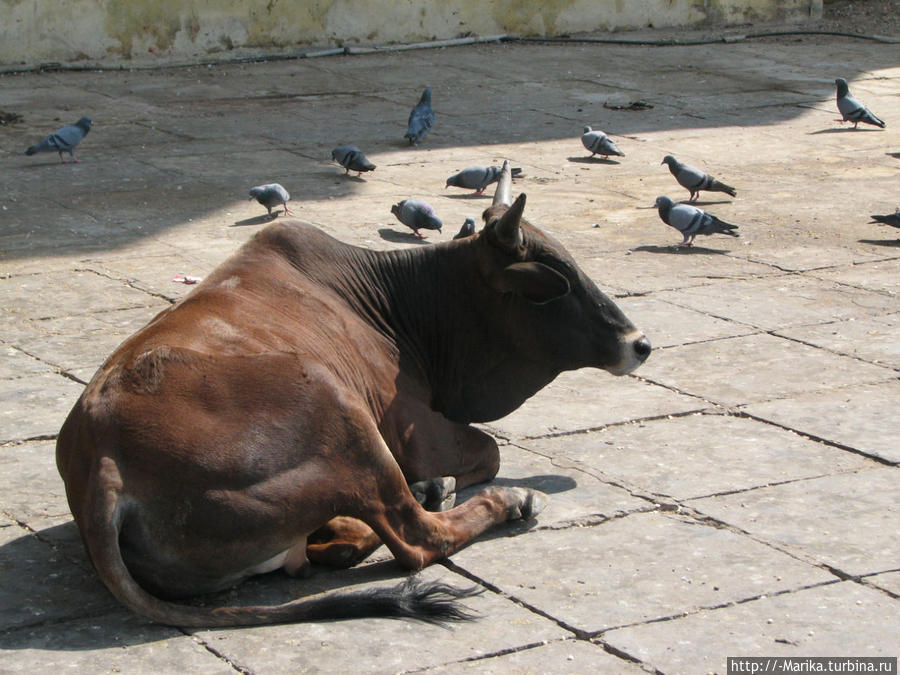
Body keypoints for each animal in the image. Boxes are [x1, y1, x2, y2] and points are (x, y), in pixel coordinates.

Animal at [54, 172, 648, 624]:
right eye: (559, 282)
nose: (639, 343)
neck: (402, 304)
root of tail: (103, 461)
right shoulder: (415, 431)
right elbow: (487, 451)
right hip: (337, 408)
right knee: (414, 537)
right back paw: (501, 502)